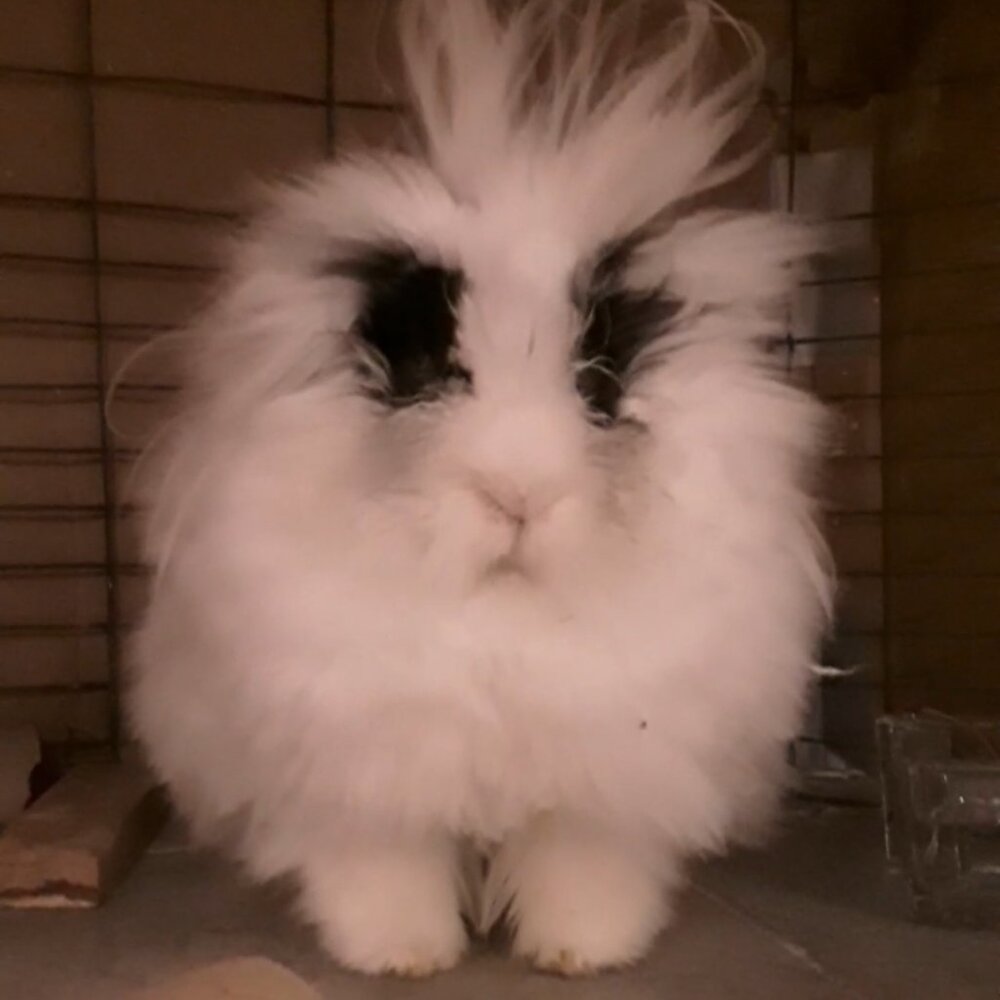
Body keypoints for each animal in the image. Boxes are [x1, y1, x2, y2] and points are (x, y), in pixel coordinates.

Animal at [127, 0, 833, 979]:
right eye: (428, 369)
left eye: (600, 384)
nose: (518, 493)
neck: (501, 616)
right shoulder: (369, 784)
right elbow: (387, 871)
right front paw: (401, 956)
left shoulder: (604, 791)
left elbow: (582, 871)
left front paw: (579, 954)